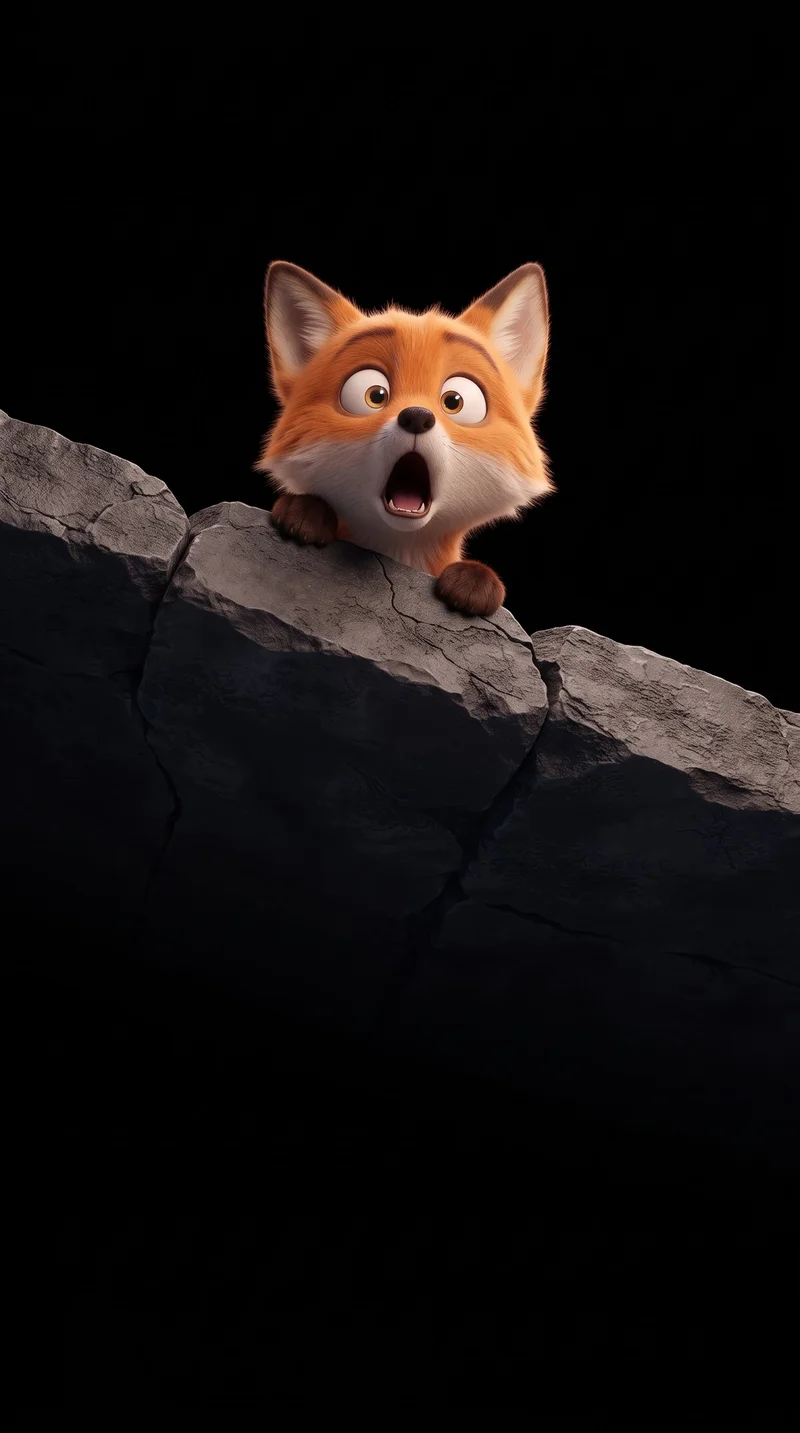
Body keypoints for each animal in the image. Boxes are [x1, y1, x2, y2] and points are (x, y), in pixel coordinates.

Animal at [255, 260, 553, 617]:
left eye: (455, 401)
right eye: (374, 395)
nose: (416, 417)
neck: (397, 553)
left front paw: (473, 584)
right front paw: (305, 512)